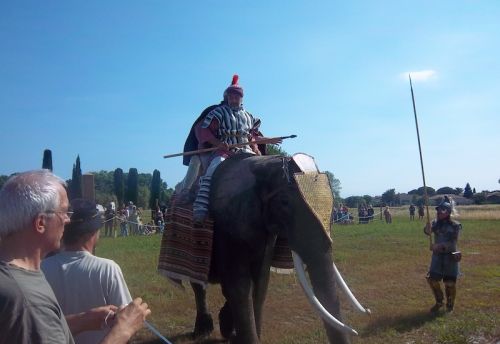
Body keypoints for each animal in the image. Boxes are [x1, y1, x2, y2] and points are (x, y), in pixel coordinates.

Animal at [186, 154, 370, 344]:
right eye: (284, 202)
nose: (369, 313)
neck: (262, 164)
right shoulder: (226, 225)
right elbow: (239, 286)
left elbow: (261, 282)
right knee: (198, 284)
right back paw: (202, 332)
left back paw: (226, 330)